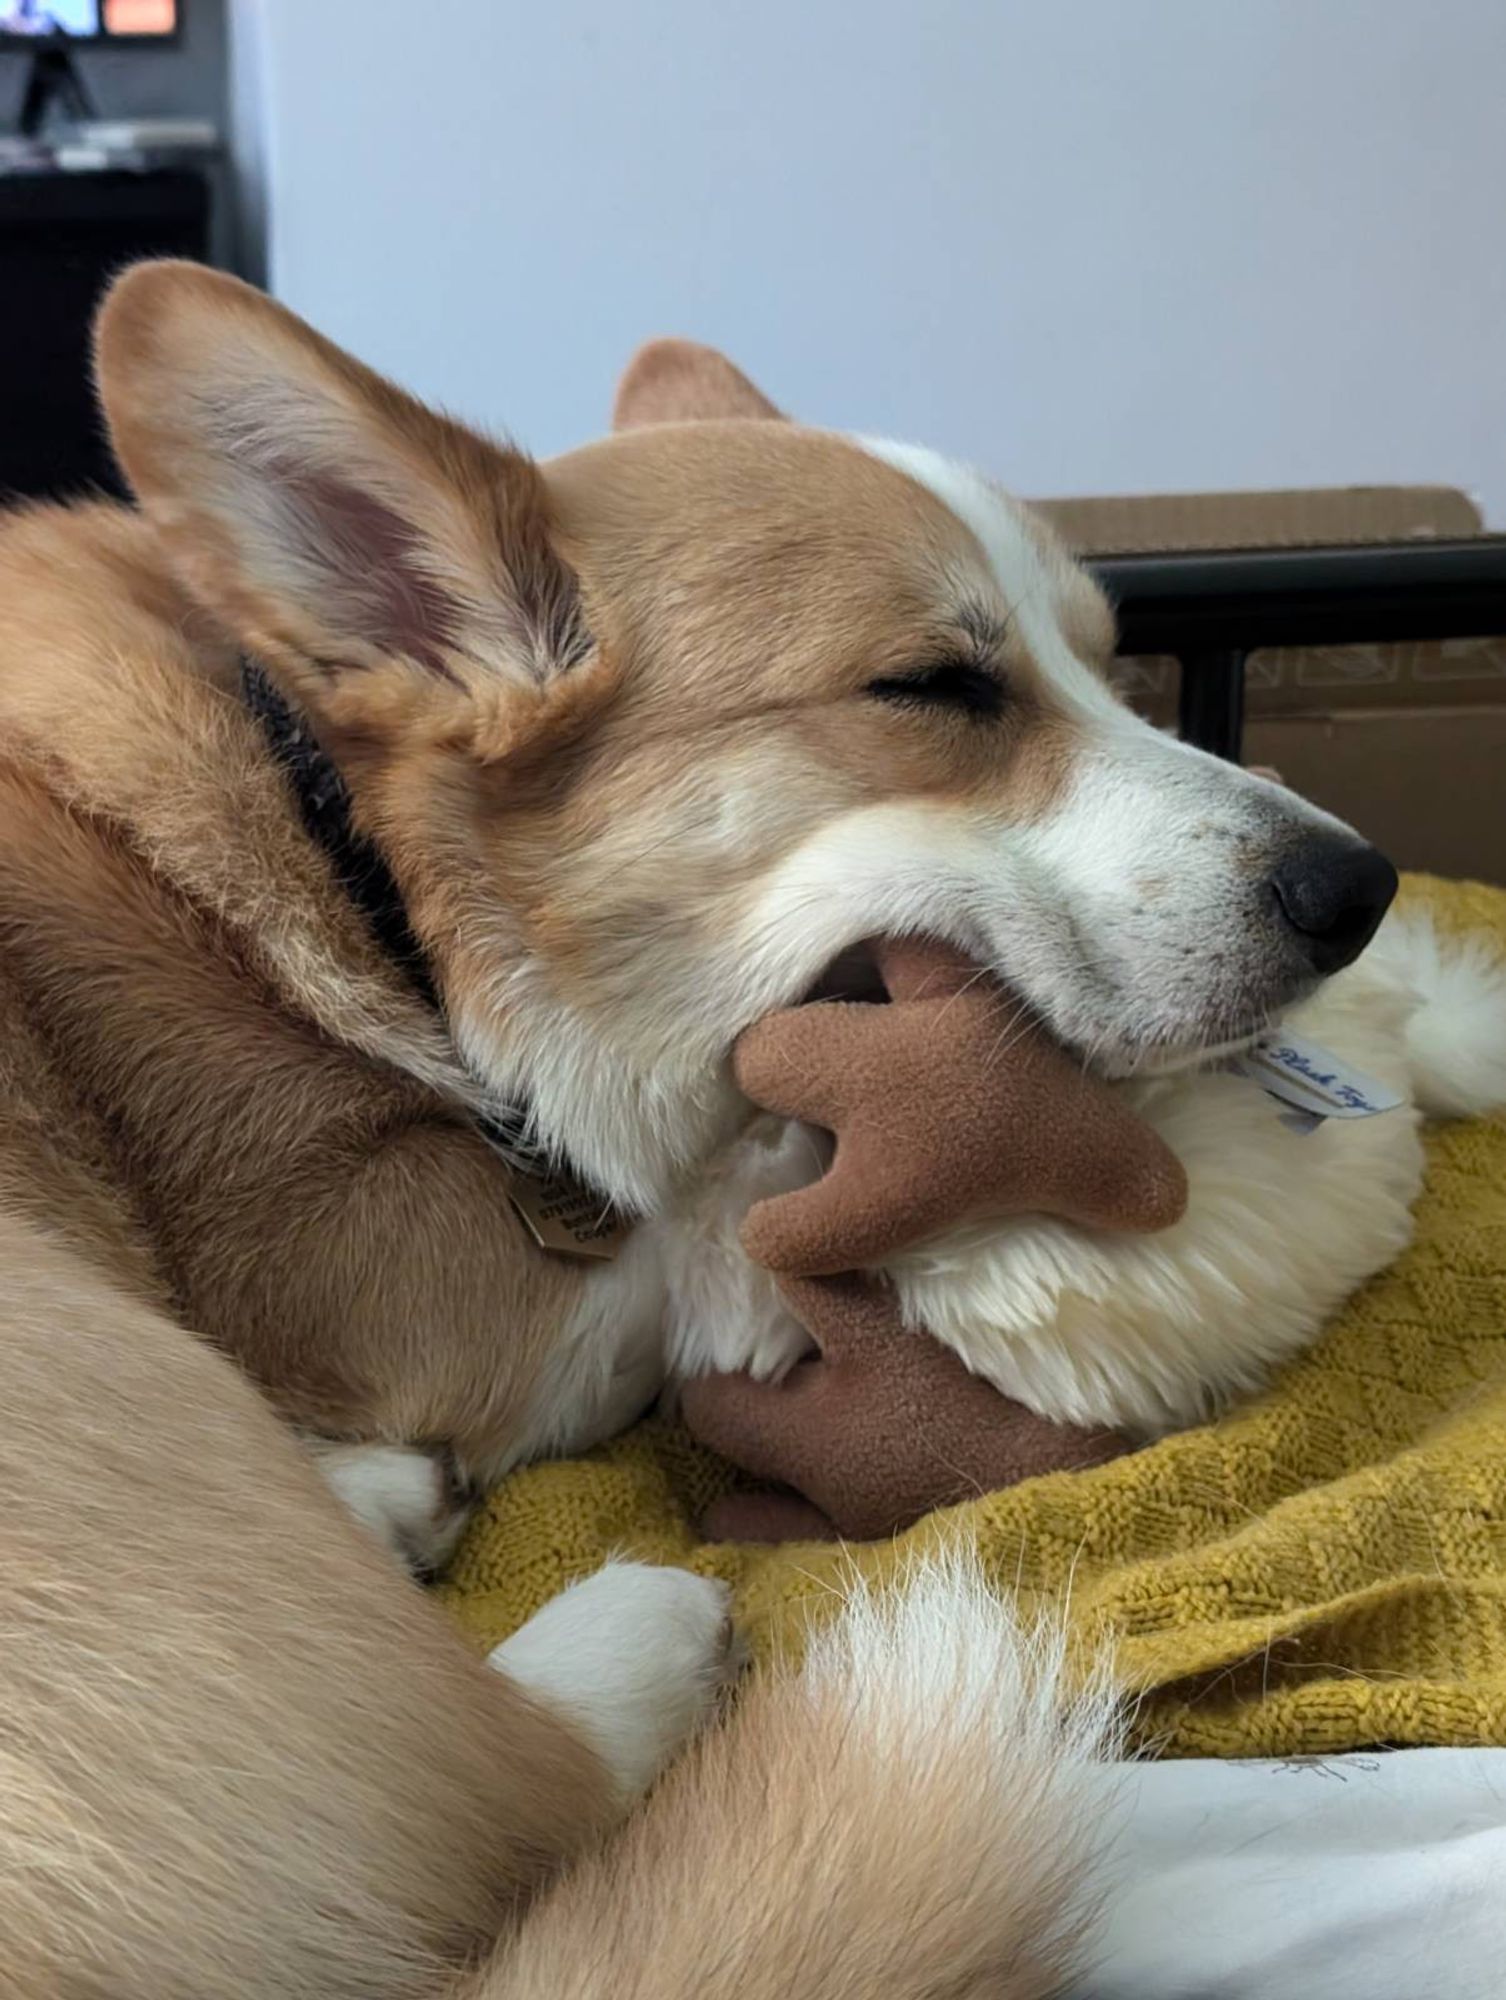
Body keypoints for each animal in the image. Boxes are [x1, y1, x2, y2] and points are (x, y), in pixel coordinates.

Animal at [0, 266, 1408, 2000]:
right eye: (933, 688)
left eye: (1106, 661)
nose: (1361, 892)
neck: (370, 882)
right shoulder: (455, 1300)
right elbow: (722, 1215)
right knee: (516, 1782)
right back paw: (637, 1622)